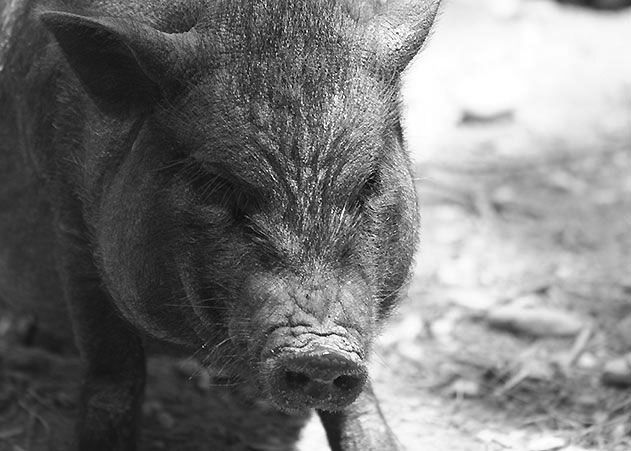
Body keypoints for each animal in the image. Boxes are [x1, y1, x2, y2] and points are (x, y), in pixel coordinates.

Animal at [0, 0, 442, 450]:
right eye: (217, 184)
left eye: (369, 182)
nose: (320, 354)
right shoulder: (69, 229)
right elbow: (115, 370)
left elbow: (357, 400)